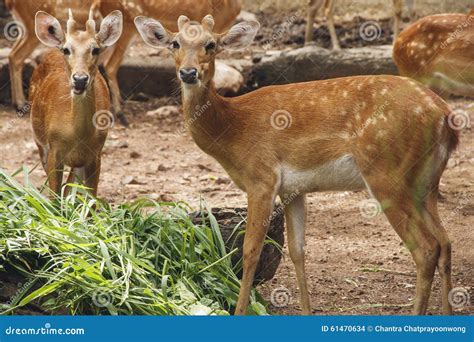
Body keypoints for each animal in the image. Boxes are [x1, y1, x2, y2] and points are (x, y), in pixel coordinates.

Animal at [29, 8, 122, 195]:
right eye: (66, 50)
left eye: (95, 50)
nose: (80, 79)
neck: (76, 135)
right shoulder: (53, 151)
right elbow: (55, 196)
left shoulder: (95, 155)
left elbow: (90, 197)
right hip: (39, 141)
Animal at [136, 13, 460, 314]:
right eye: (175, 43)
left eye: (211, 44)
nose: (188, 72)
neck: (233, 129)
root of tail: (444, 115)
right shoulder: (293, 190)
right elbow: (297, 250)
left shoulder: (262, 178)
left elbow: (251, 250)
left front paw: (239, 310)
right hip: (425, 182)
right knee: (445, 242)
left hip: (385, 171)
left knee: (426, 248)